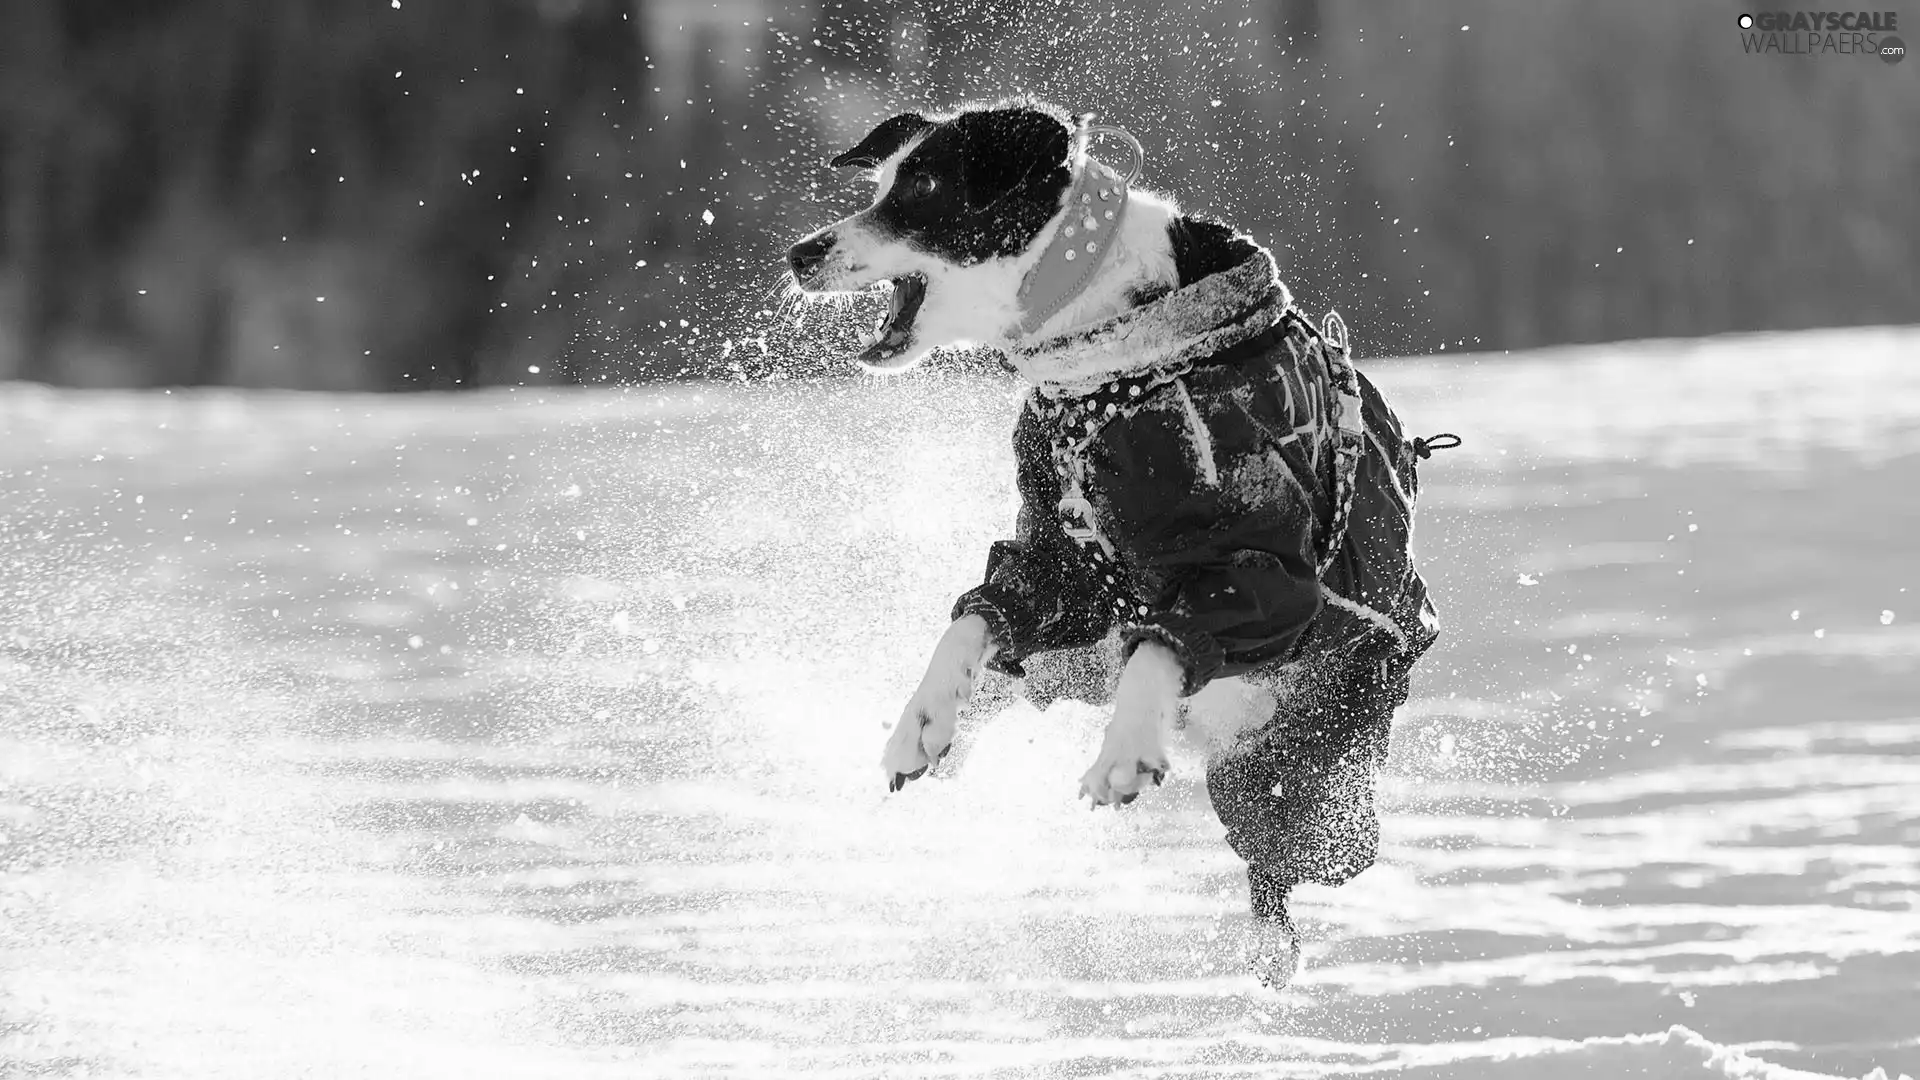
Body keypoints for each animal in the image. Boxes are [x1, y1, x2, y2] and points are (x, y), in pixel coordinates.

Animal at [791, 100, 1443, 983]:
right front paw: (921, 720)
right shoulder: (1063, 561)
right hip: (1082, 663)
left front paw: (1123, 752)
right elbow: (979, 616)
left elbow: (1167, 641)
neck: (1103, 359)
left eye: (922, 187)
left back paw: (1273, 947)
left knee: (1287, 850)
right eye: (881, 184)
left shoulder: (1264, 571)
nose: (801, 254)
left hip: (1307, 768)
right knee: (1027, 673)